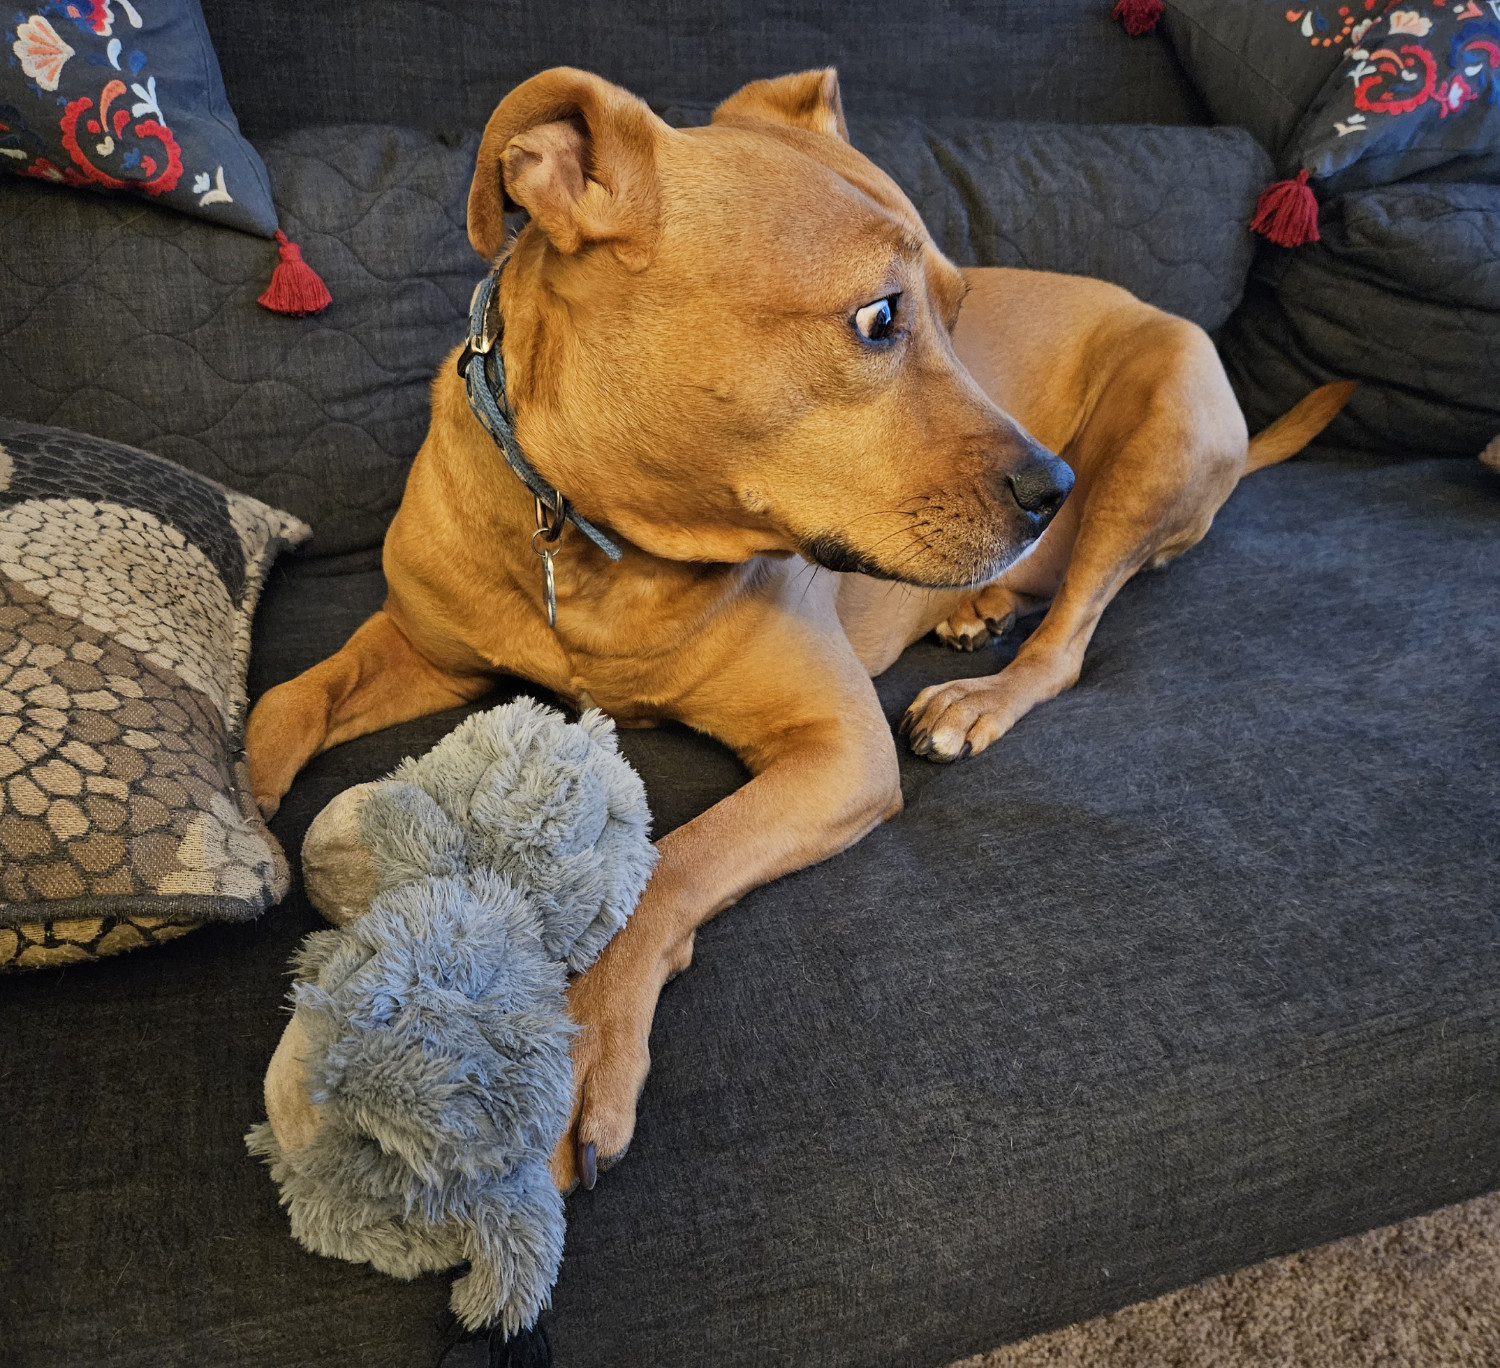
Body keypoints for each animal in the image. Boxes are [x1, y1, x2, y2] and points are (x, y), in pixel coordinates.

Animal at [243, 69, 1350, 1194]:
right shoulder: (423, 648)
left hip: (1162, 421)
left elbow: (673, 862)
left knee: (1072, 638)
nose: (1053, 486)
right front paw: (221, 816)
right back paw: (985, 606)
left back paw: (983, 691)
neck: (603, 544)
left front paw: (584, 1038)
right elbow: (289, 697)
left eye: (960, 310)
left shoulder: (841, 750)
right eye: (880, 317)